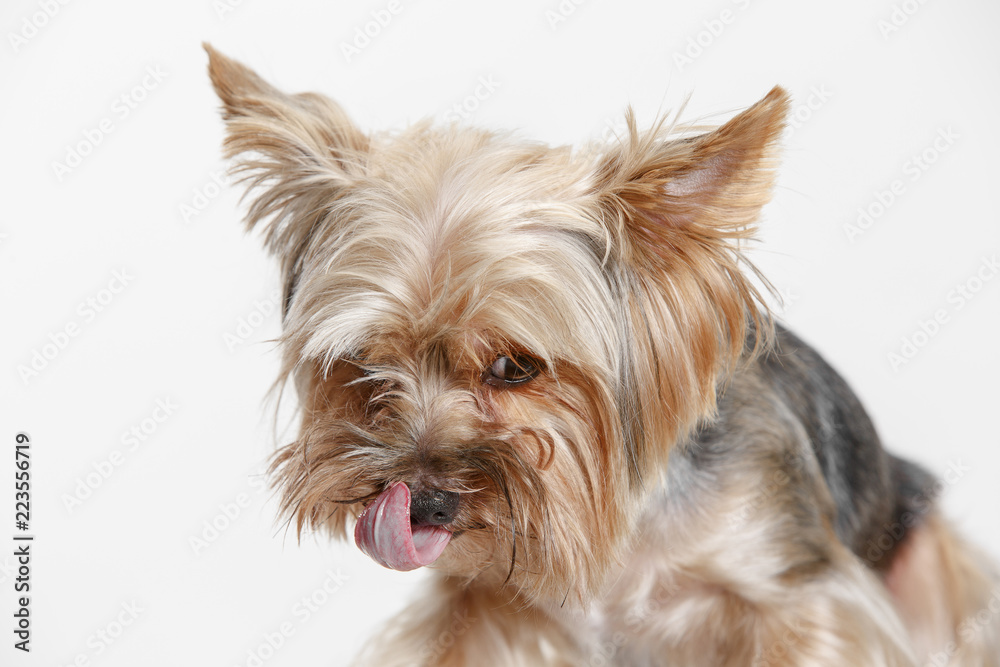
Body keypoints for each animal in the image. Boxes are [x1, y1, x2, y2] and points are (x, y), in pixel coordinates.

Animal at [205, 44, 1000, 664]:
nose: (422, 503)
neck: (621, 524)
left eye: (515, 367)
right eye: (366, 360)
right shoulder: (487, 611)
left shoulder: (802, 595)